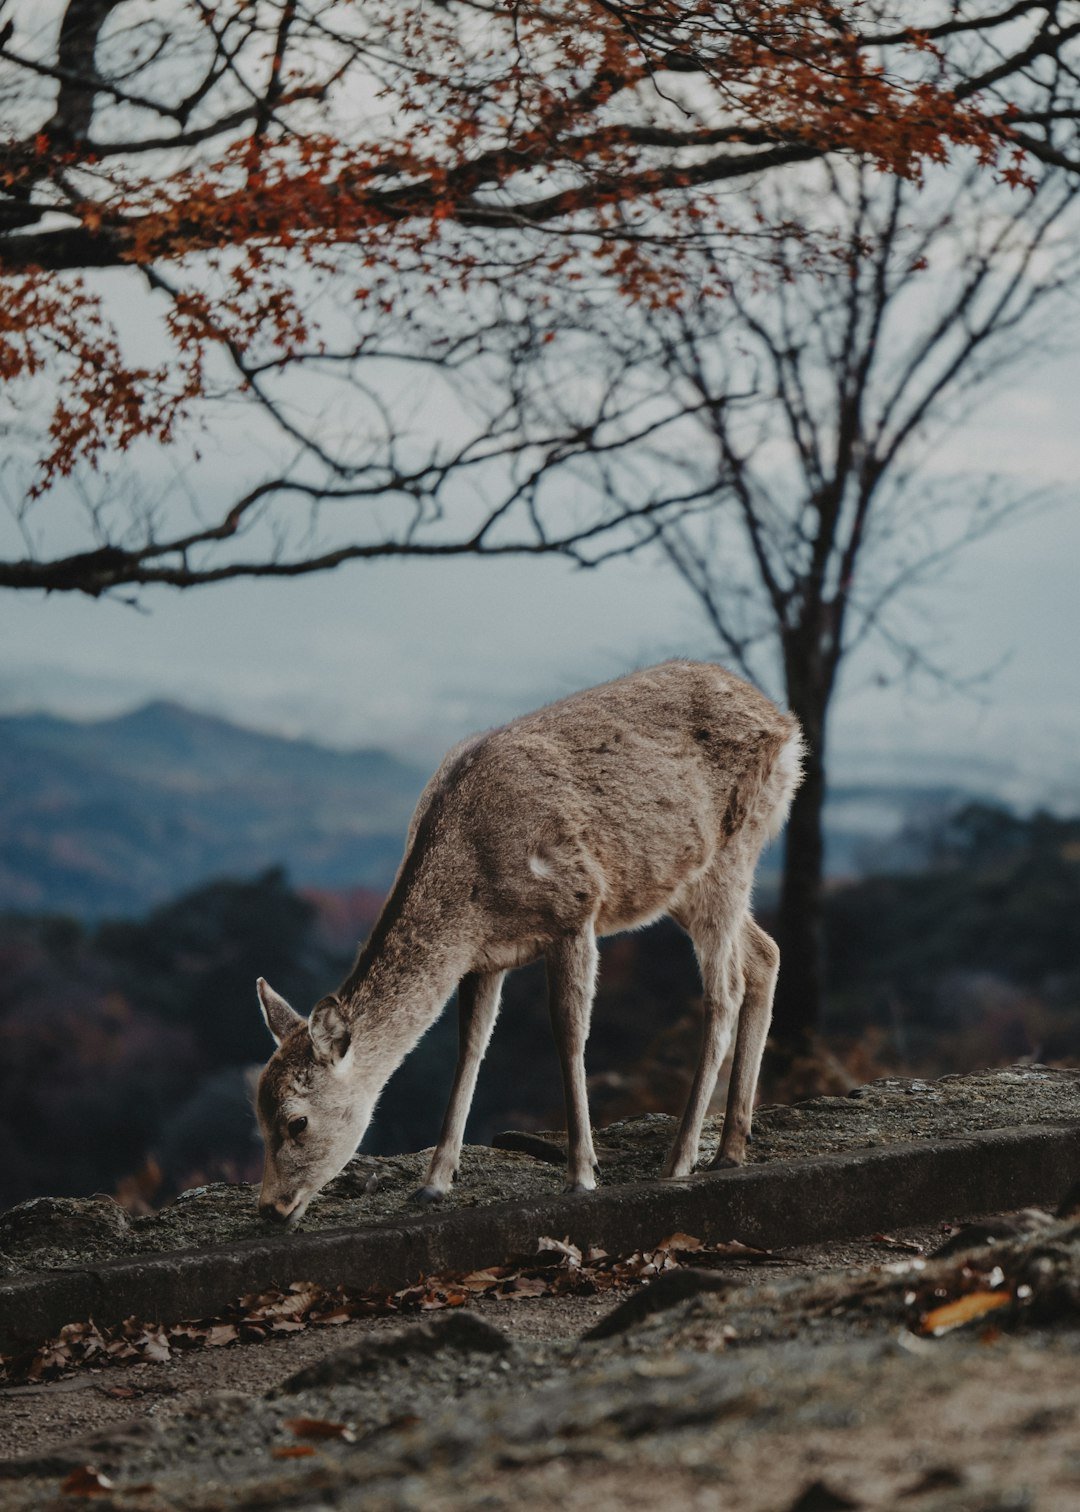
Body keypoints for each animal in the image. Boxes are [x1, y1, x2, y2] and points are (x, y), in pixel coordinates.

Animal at [254, 660, 803, 1225]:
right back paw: (730, 1148)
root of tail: (786, 727)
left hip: (731, 852)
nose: (270, 1208)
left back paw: (681, 1158)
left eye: (296, 1121)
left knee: (726, 990)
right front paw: (434, 1183)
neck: (473, 896)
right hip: (683, 885)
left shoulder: (576, 909)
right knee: (766, 953)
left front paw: (581, 1174)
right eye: (258, 1115)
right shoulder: (484, 959)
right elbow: (471, 1048)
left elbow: (569, 1033)